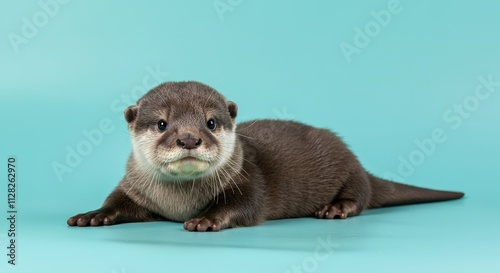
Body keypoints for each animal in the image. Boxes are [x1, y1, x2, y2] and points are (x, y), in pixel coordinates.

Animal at [67, 81, 464, 232]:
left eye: (211, 122)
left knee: (361, 195)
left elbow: (246, 205)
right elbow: (118, 202)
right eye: (162, 123)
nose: (189, 138)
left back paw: (336, 208)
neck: (179, 202)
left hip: (348, 168)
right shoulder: (135, 188)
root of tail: (360, 165)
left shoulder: (247, 178)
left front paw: (206, 219)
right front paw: (92, 215)